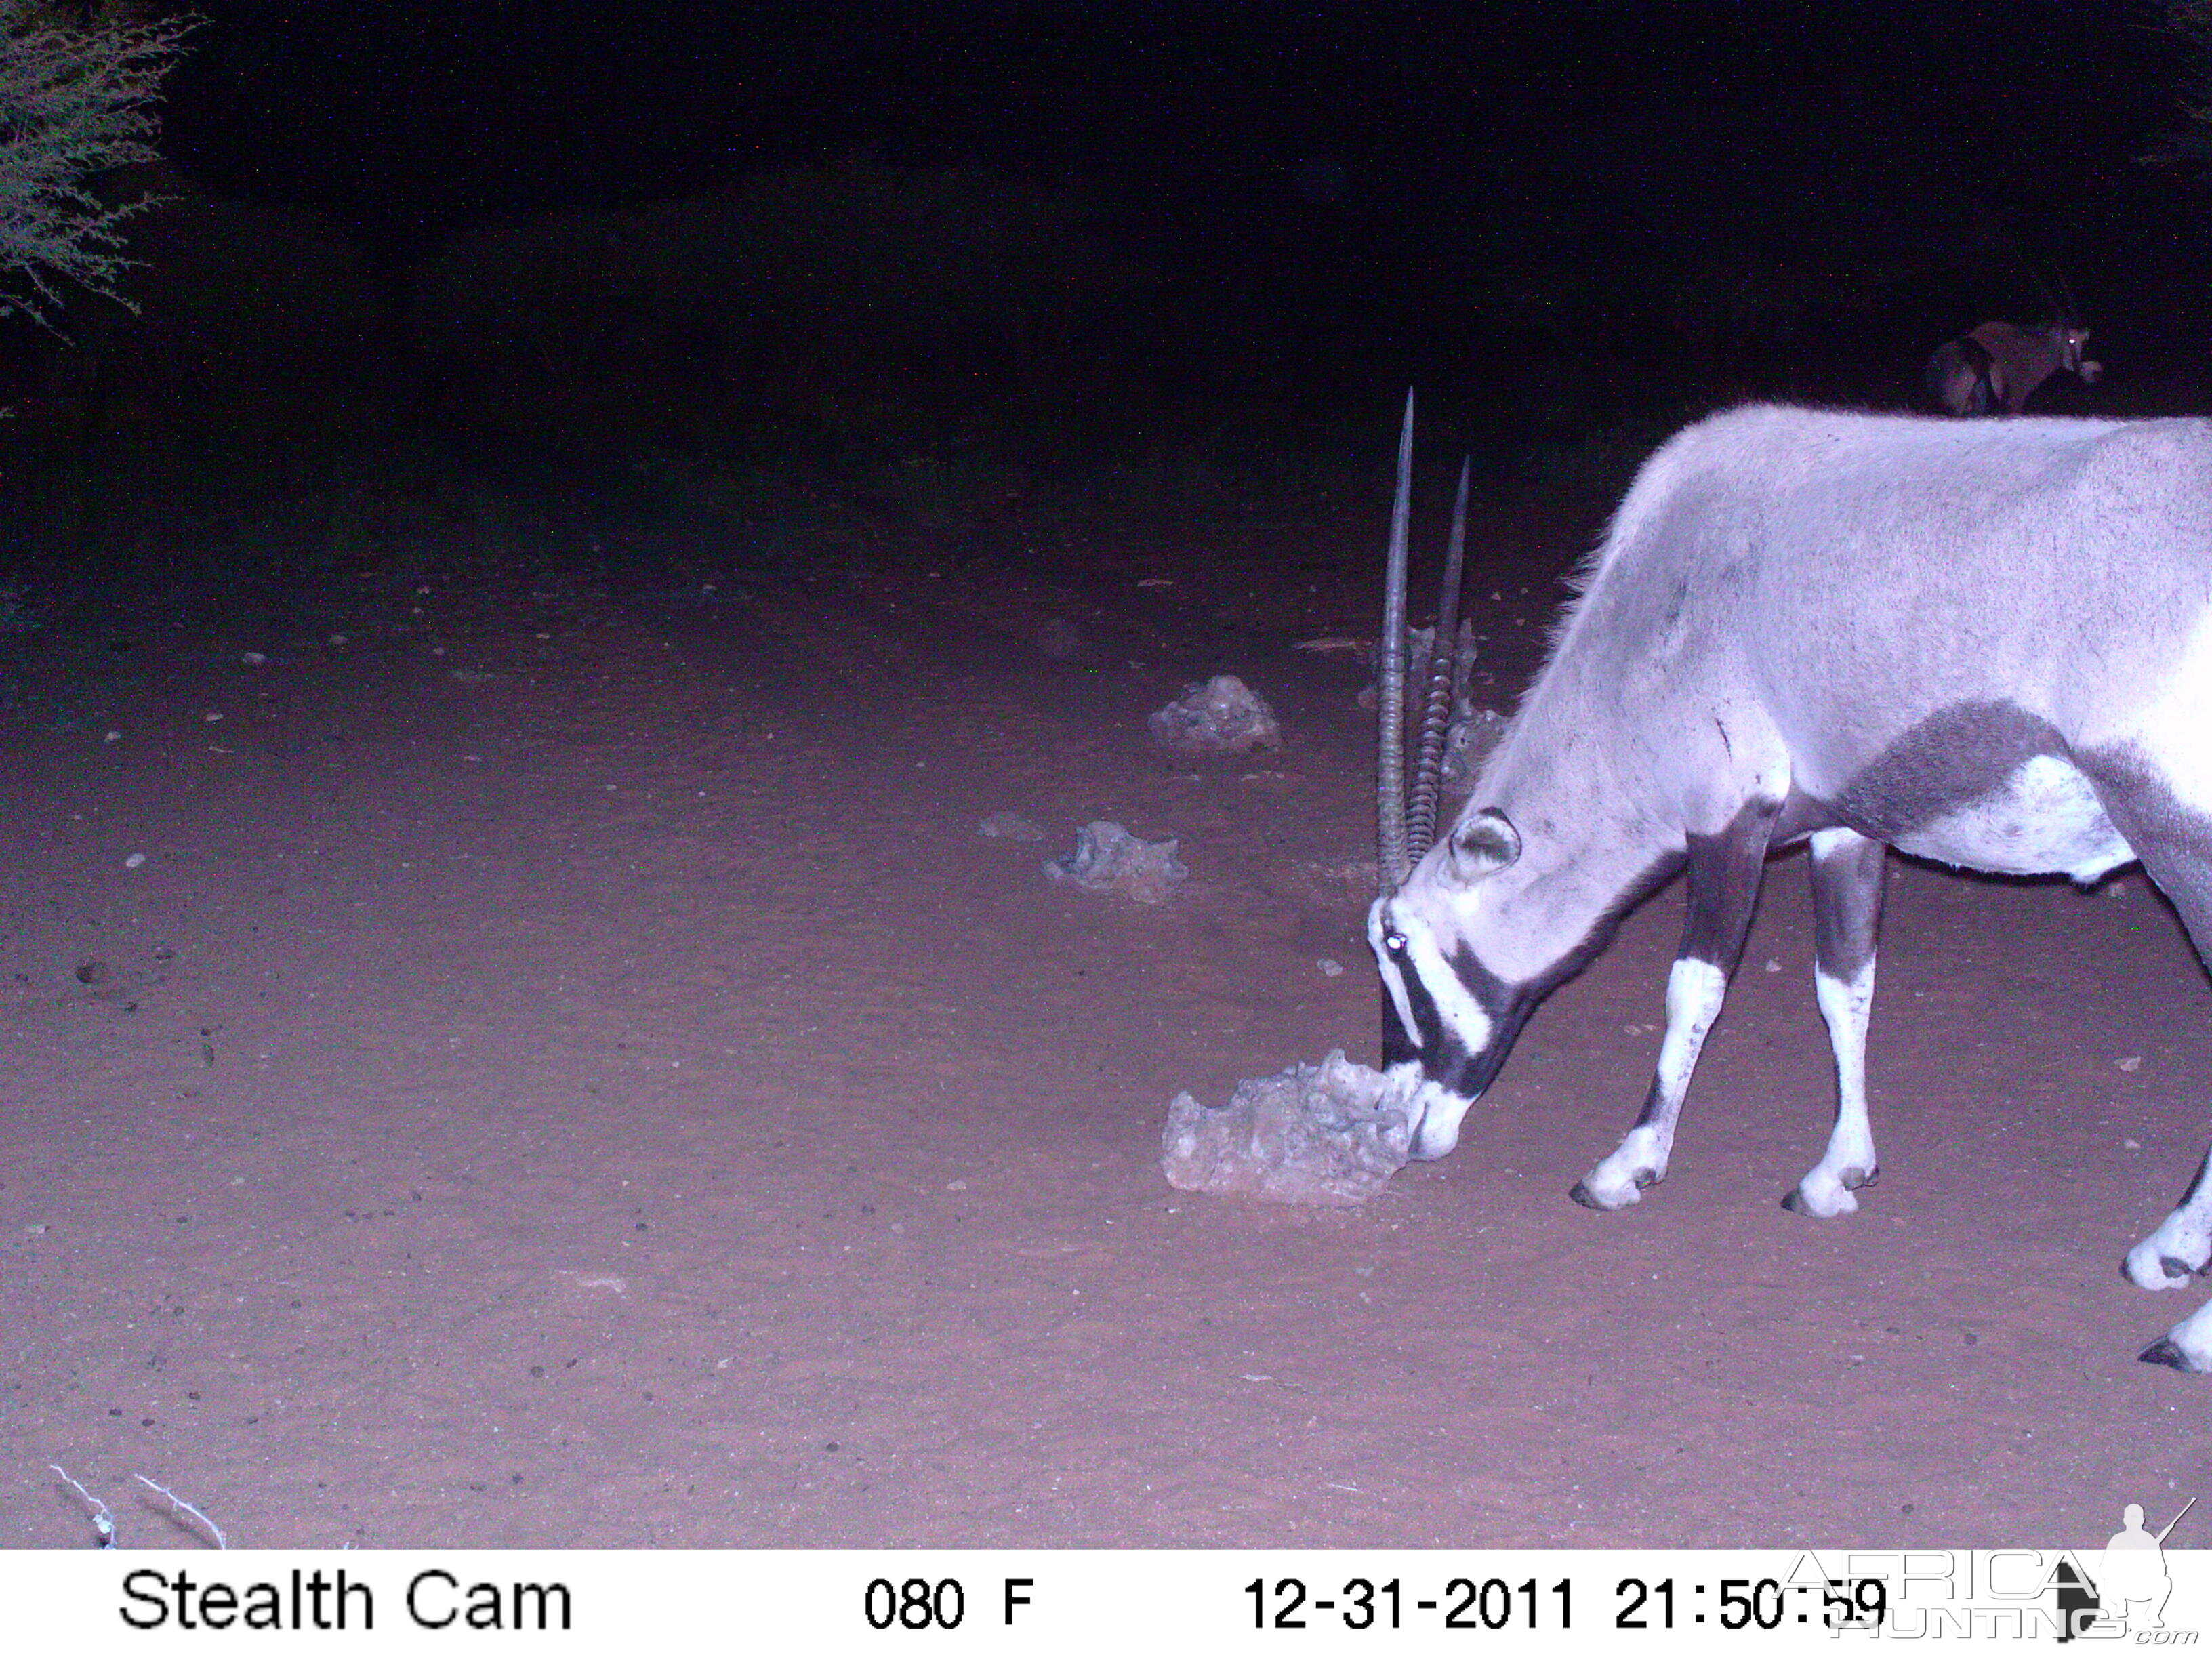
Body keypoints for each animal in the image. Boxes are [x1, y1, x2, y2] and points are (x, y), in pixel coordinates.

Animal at [1371, 396, 2212, 1371]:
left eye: (1397, 943)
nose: (1398, 1119)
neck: (1656, 613)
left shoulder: (1726, 819)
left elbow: (1694, 989)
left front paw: (1625, 1168)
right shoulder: (1846, 830)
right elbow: (1844, 985)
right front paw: (1836, 1173)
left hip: (2180, 840)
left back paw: (2186, 1315)